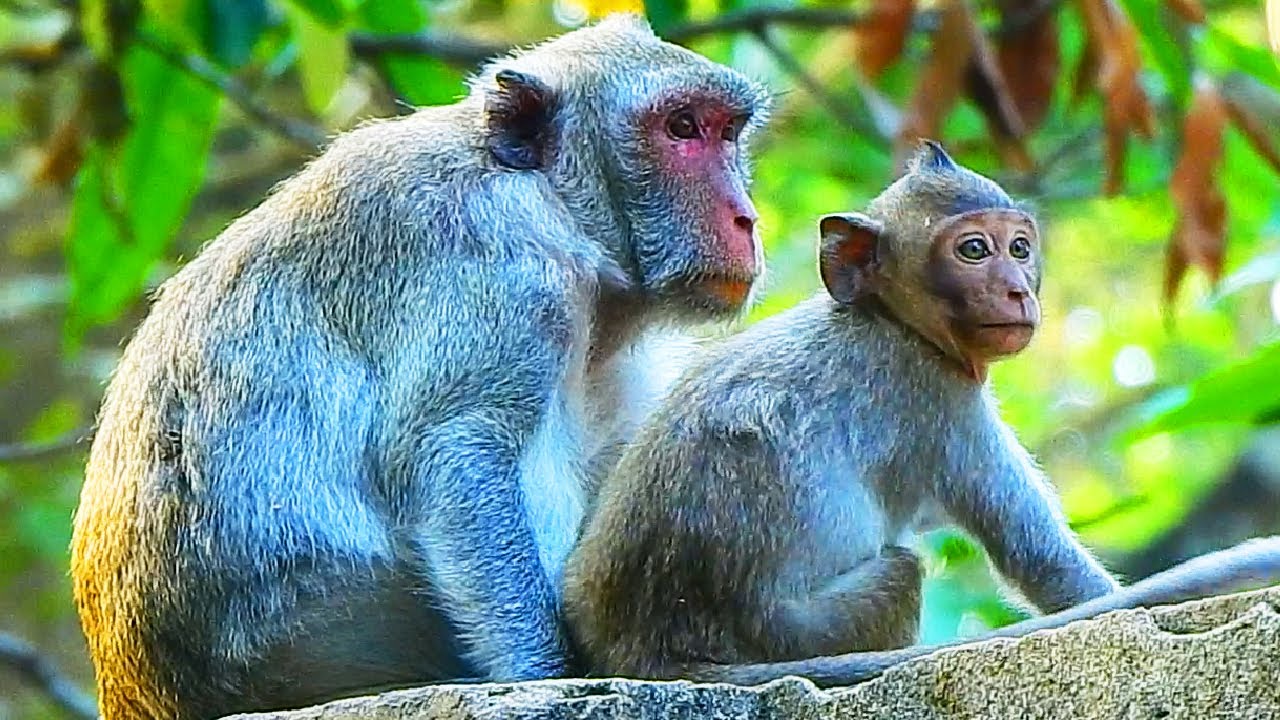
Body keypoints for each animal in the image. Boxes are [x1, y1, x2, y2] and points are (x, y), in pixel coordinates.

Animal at [69, 15, 771, 720]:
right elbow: (457, 455)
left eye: (726, 130)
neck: (548, 200)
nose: (746, 218)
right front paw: (545, 670)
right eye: (681, 128)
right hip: (319, 633)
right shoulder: (501, 273)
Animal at [561, 140, 1280, 688]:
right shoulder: (938, 401)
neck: (892, 321)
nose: (1016, 290)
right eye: (973, 251)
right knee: (901, 572)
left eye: (1019, 249)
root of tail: (658, 652)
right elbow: (1043, 562)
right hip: (795, 630)